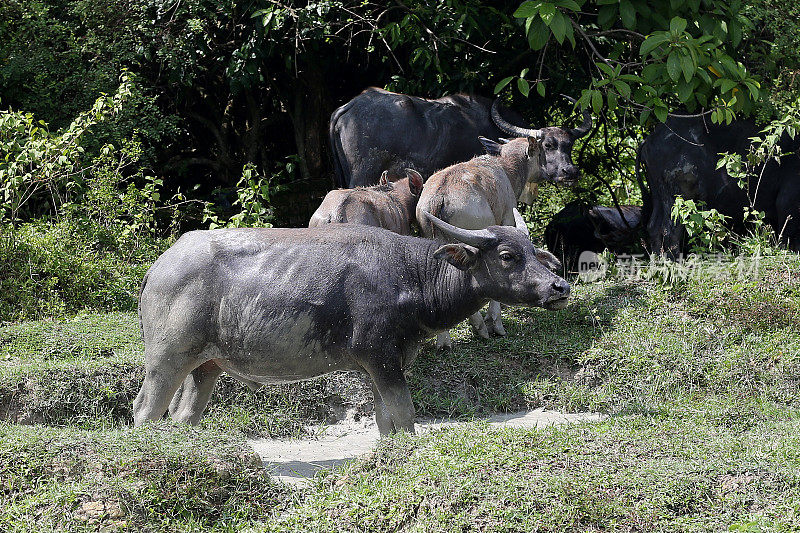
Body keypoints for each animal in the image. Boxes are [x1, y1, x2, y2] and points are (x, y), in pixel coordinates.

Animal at [133, 214, 568, 434]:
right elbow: (406, 414)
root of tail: (158, 267)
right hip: (166, 360)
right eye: (508, 256)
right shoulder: (380, 358)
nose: (559, 286)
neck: (410, 276)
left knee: (184, 415)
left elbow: (385, 419)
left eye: (535, 252)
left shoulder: (384, 365)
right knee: (146, 410)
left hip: (206, 365)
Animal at [418, 135, 564, 348]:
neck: (504, 167)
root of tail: (439, 196)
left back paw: (444, 339)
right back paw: (479, 326)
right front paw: (495, 324)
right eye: (542, 151)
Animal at [640, 116, 800, 254]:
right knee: (669, 230)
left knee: (654, 227)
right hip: (678, 198)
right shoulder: (788, 202)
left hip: (659, 195)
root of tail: (650, 139)